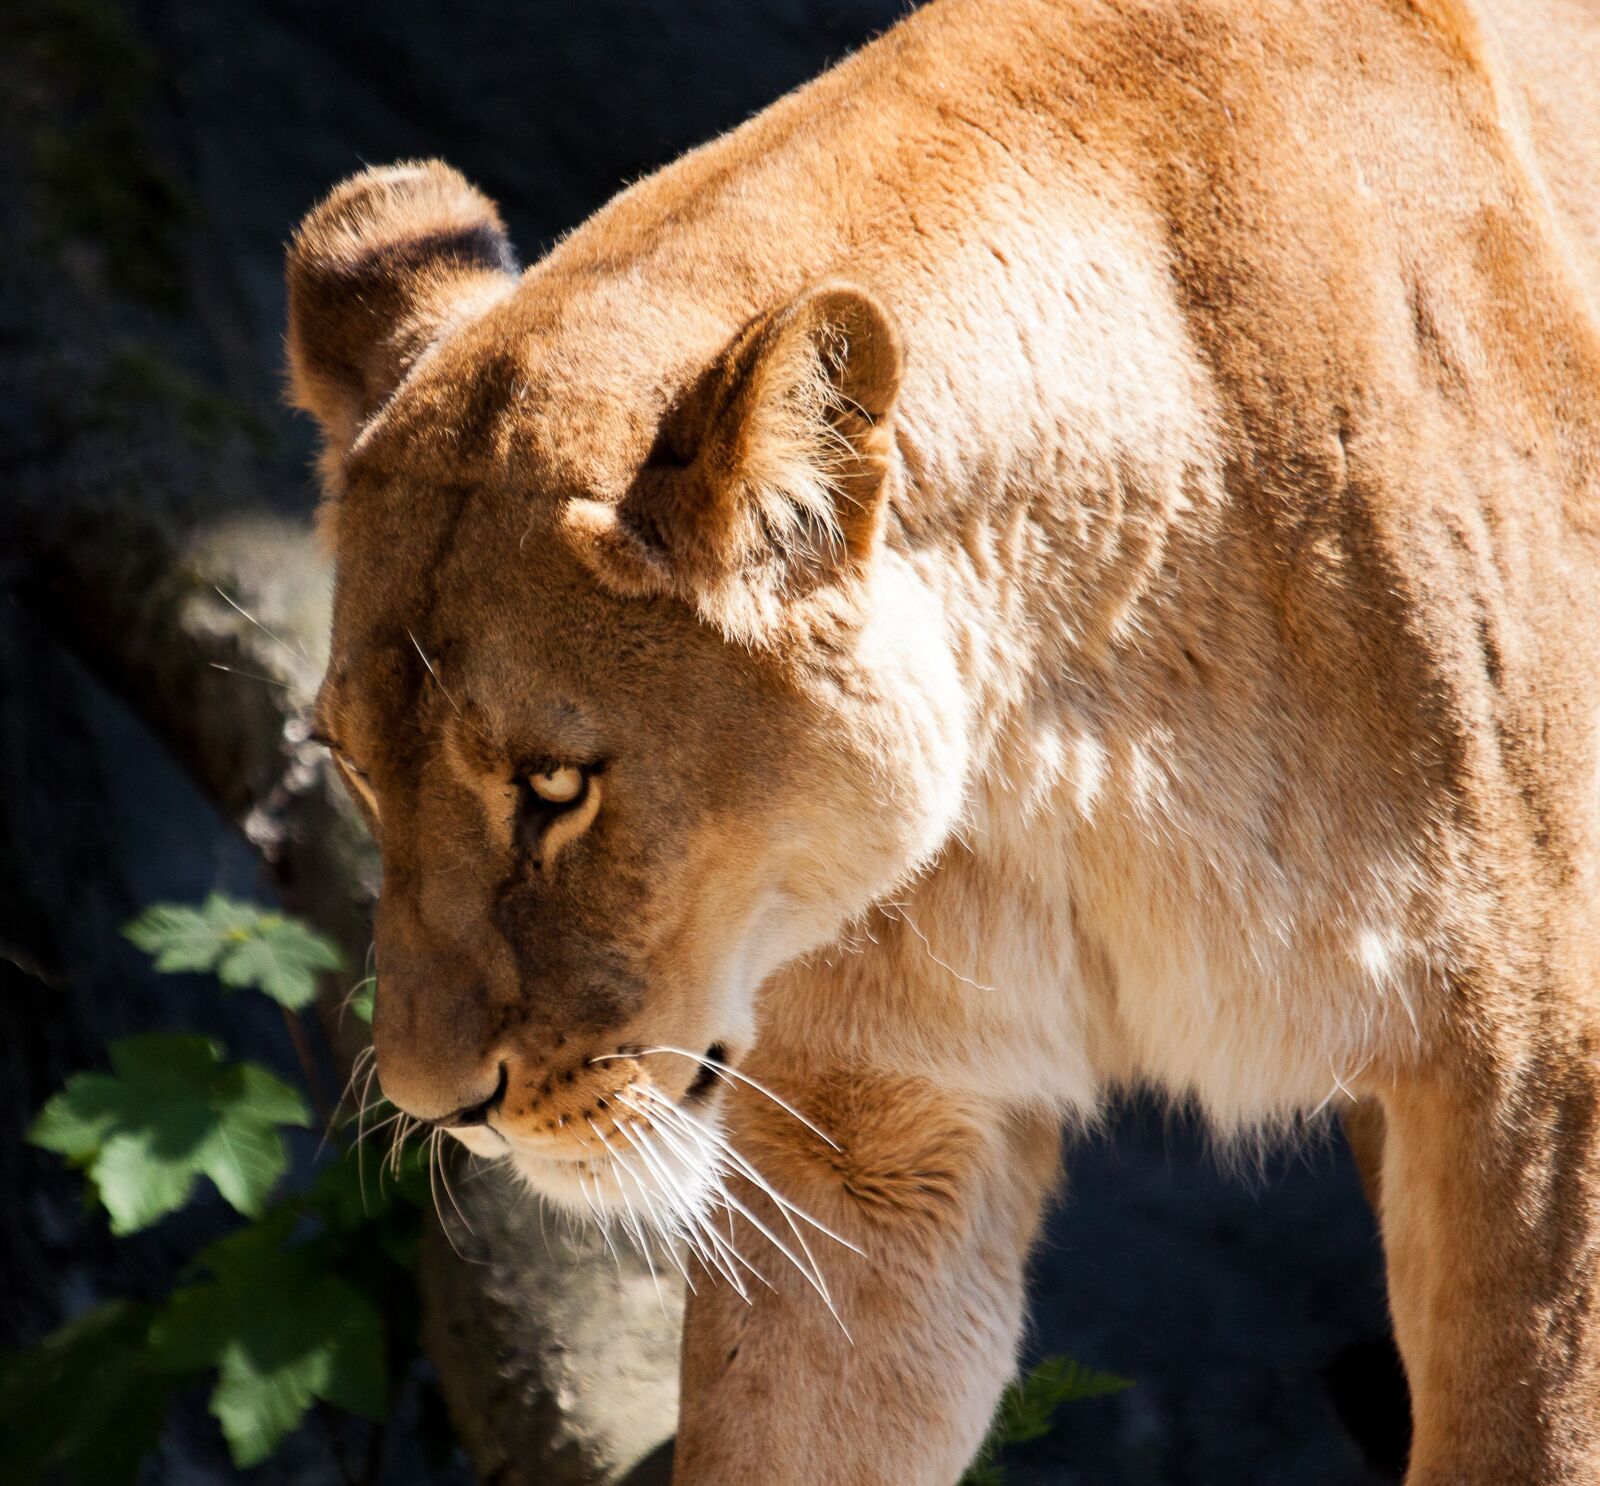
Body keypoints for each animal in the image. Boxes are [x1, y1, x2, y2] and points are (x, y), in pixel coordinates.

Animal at [284, 0, 1600, 1479]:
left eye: (555, 785)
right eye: (352, 773)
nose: (439, 1104)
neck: (1067, 743)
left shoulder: (1530, 1077)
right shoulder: (877, 1127)